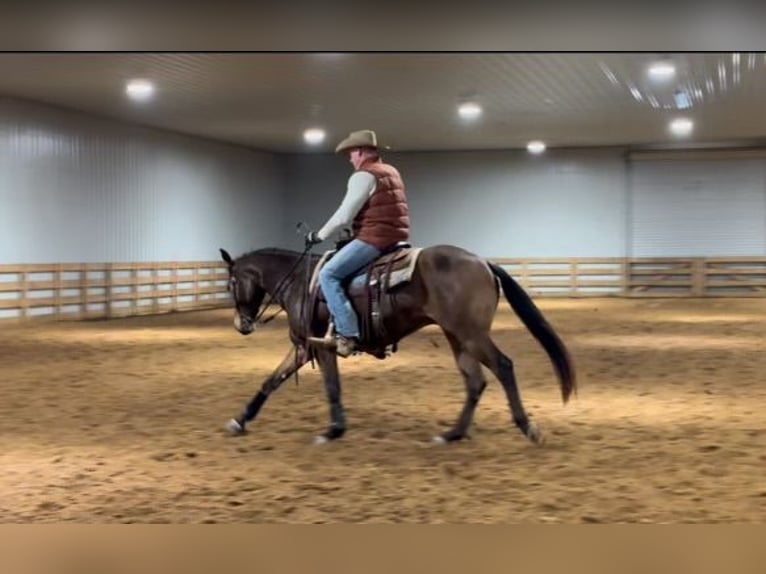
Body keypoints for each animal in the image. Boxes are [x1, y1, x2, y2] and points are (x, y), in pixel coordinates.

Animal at [216, 241, 576, 448]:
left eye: (231, 282)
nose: (241, 325)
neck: (301, 282)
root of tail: (482, 263)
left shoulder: (322, 347)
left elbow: (332, 387)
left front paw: (333, 430)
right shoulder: (305, 348)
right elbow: (271, 381)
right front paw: (239, 420)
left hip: (472, 334)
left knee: (503, 366)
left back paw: (527, 427)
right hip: (457, 336)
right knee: (475, 381)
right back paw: (452, 434)